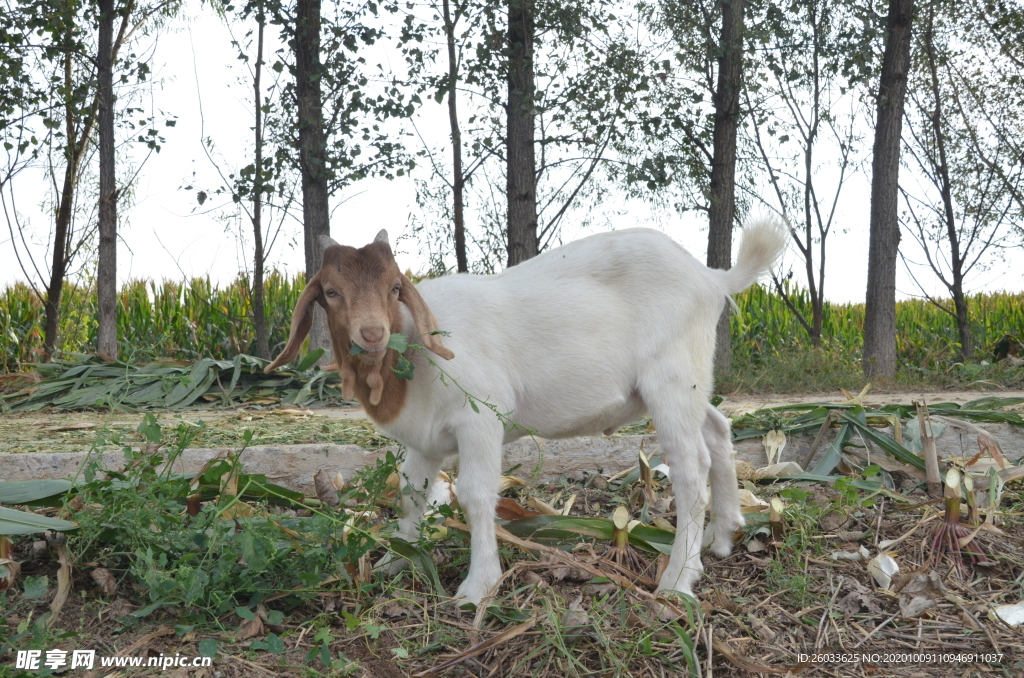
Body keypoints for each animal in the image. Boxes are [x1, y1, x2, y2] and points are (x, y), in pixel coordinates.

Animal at [266, 222, 782, 606]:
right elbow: (411, 494)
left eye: (395, 288)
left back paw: (679, 579)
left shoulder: (480, 419)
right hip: (691, 382)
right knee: (717, 429)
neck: (412, 346)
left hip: (671, 378)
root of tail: (712, 278)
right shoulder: (423, 439)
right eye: (331, 292)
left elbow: (475, 495)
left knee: (690, 470)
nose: (371, 334)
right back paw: (723, 536)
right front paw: (395, 558)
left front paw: (478, 586)